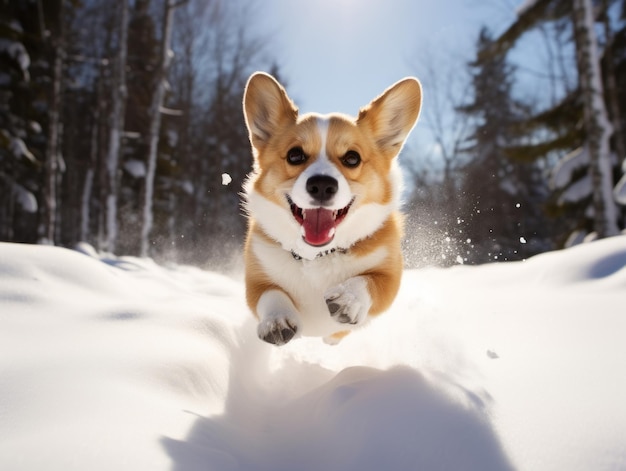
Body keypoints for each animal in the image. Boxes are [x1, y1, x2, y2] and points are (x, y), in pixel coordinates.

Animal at [241, 74, 422, 346]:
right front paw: (277, 320)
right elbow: (270, 294)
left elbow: (371, 280)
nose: (322, 186)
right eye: (295, 155)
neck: (317, 256)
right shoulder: (256, 278)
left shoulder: (390, 274)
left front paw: (348, 298)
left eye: (352, 158)